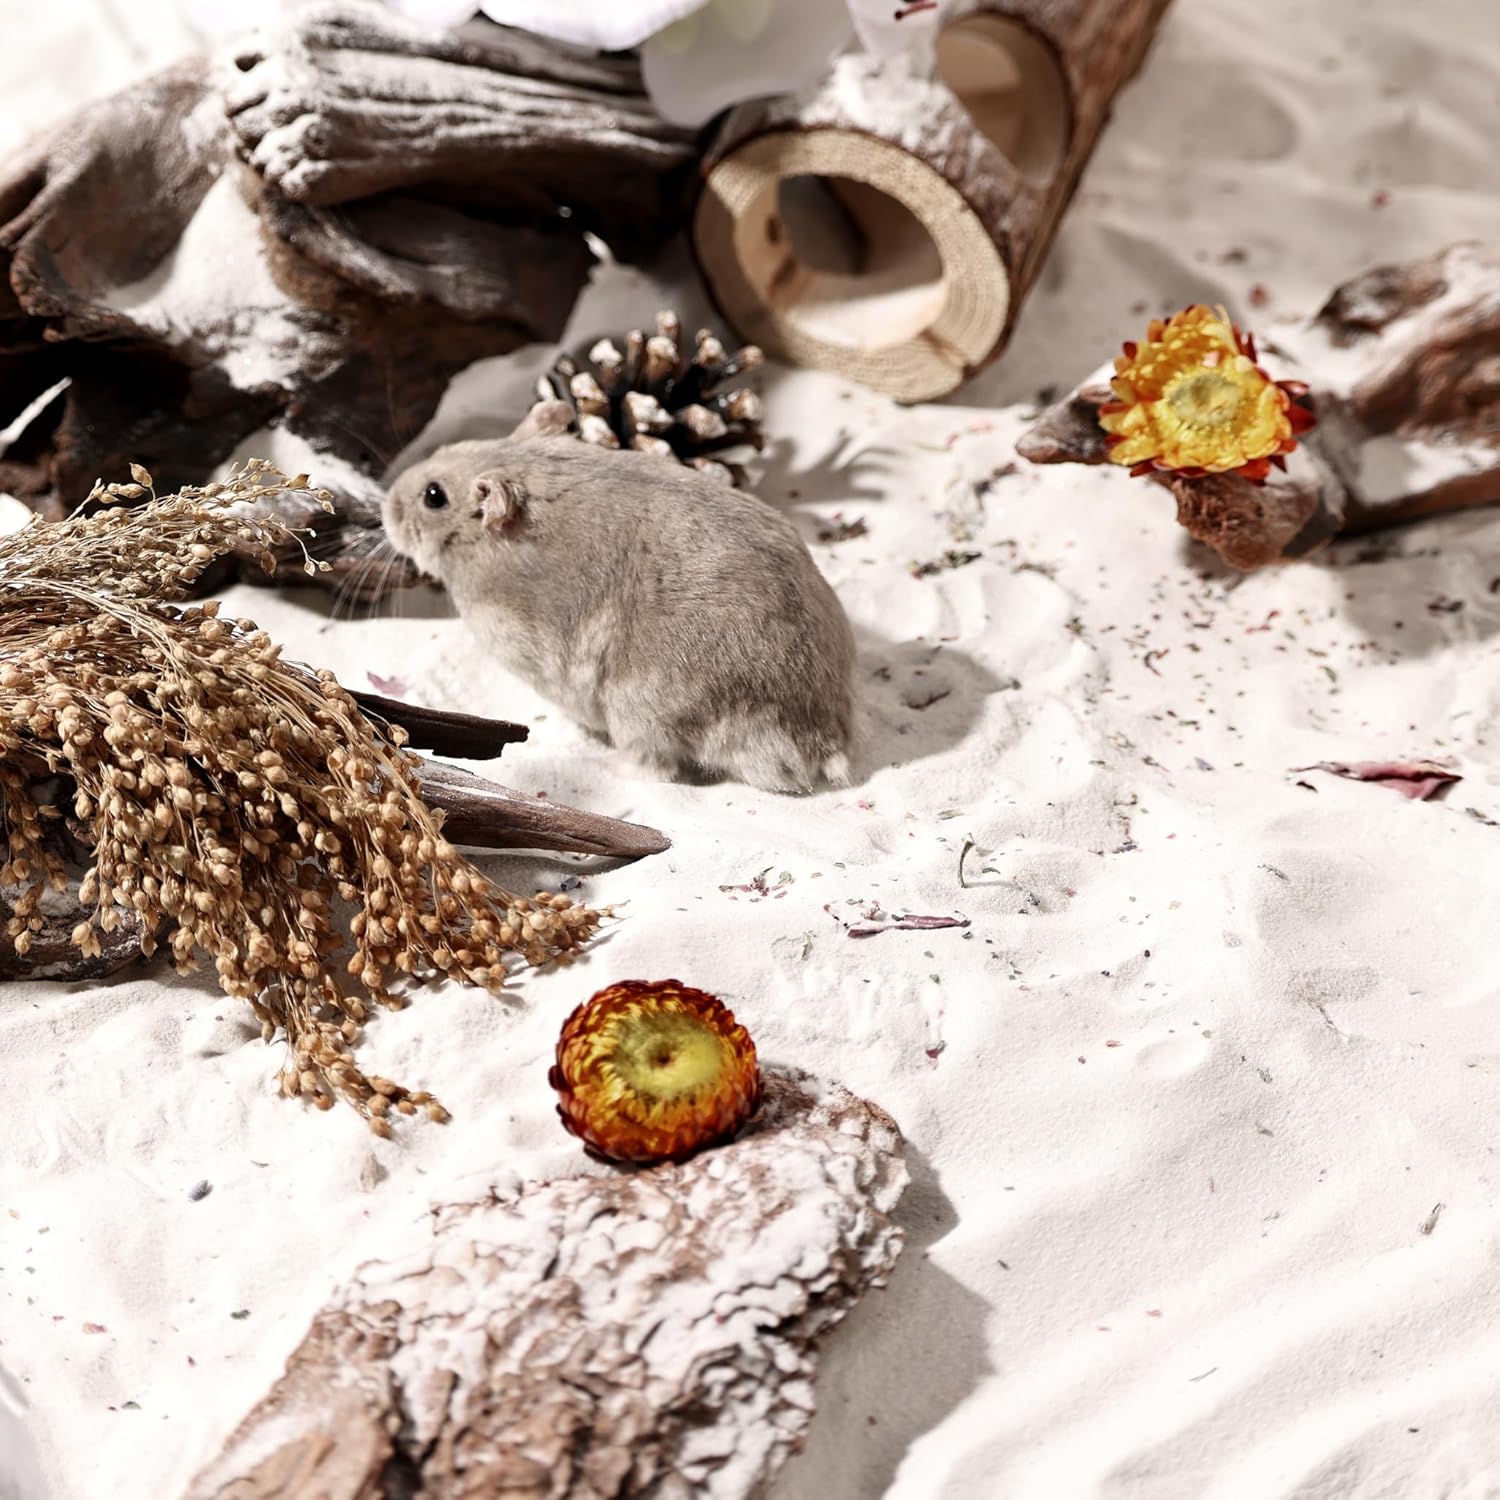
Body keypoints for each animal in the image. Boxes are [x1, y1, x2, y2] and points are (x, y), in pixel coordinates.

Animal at [382, 403, 856, 793]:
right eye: (448, 447)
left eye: (433, 495)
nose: (387, 503)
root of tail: (823, 738)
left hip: (638, 712)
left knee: (658, 769)